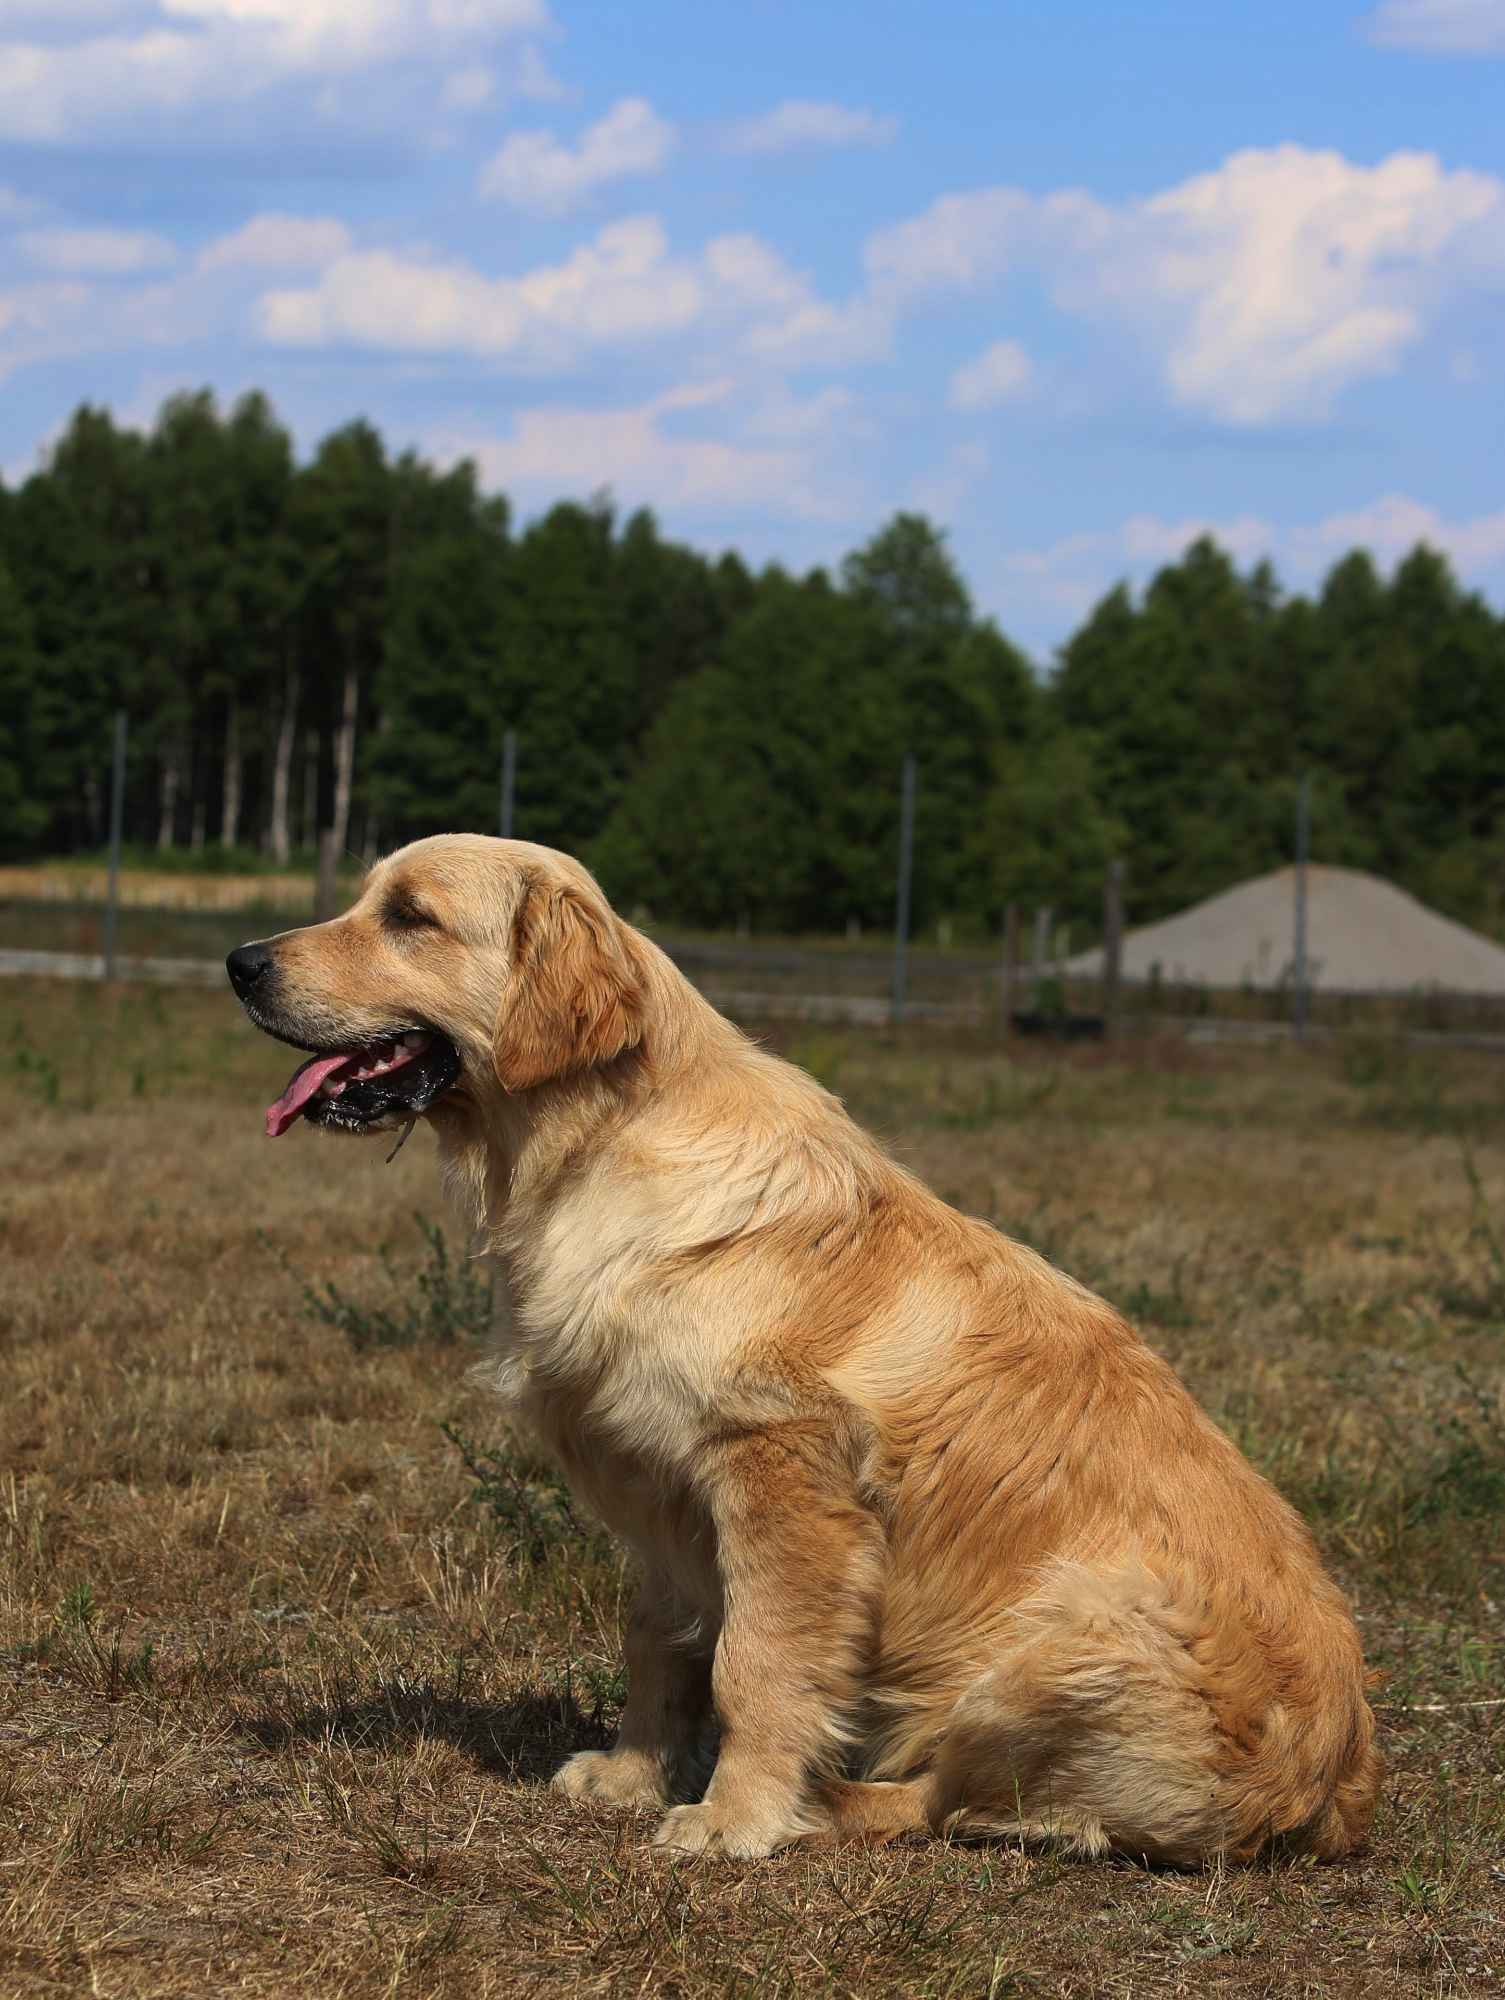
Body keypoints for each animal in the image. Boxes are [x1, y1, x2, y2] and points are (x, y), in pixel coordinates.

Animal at [229, 836, 1384, 1864]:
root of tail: (1333, 1788)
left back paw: (827, 1800)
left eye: (409, 916)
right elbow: (658, 1647)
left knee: (959, 1804)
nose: (240, 962)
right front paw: (632, 1773)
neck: (588, 1152)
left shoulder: (781, 1475)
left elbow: (755, 1666)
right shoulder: (661, 1489)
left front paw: (734, 1816)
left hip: (1069, 1635)